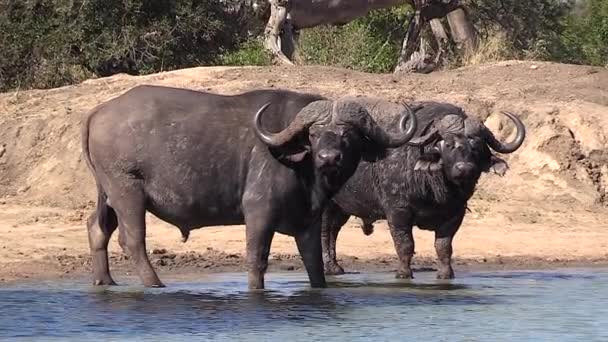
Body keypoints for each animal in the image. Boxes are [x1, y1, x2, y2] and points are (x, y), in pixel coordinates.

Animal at [79, 85, 418, 288]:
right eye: (314, 134)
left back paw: (105, 281)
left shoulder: (309, 222)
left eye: (348, 135)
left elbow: (314, 264)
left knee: (97, 228)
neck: (300, 163)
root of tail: (98, 111)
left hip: (106, 195)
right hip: (127, 192)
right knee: (132, 239)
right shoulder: (258, 213)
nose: (329, 158)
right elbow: (257, 259)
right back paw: (154, 283)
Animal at [320, 97, 524, 280]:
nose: (465, 168)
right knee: (325, 232)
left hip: (341, 209)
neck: (438, 190)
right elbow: (405, 244)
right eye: (447, 144)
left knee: (334, 231)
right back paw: (329, 267)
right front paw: (403, 273)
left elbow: (444, 246)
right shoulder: (398, 211)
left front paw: (445, 274)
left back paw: (335, 267)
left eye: (477, 146)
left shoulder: (455, 214)